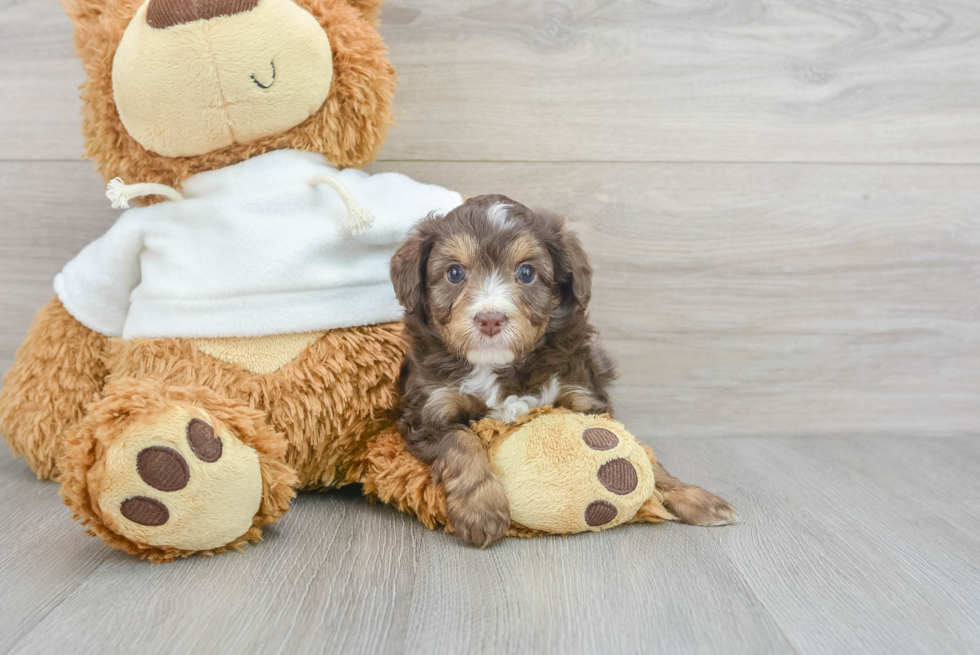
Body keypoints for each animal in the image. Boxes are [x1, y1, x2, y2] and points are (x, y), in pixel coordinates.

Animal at [388, 196, 736, 548]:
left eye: (526, 272)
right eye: (455, 273)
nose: (490, 319)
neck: (498, 365)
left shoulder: (584, 396)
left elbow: (642, 452)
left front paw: (693, 497)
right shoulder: (428, 411)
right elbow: (460, 441)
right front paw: (482, 510)